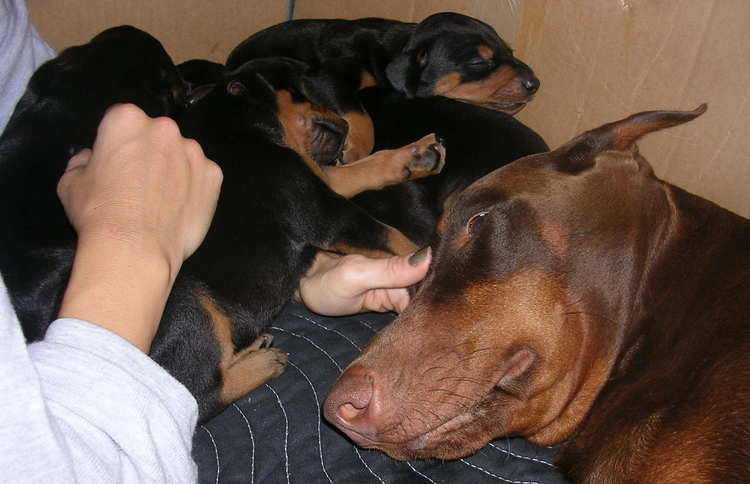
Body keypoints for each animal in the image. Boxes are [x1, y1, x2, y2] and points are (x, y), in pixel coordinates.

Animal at [229, 11, 540, 161]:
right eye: (477, 61)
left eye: (510, 52)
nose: (534, 84)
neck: (396, 50)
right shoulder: (325, 76)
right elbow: (359, 114)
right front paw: (355, 151)